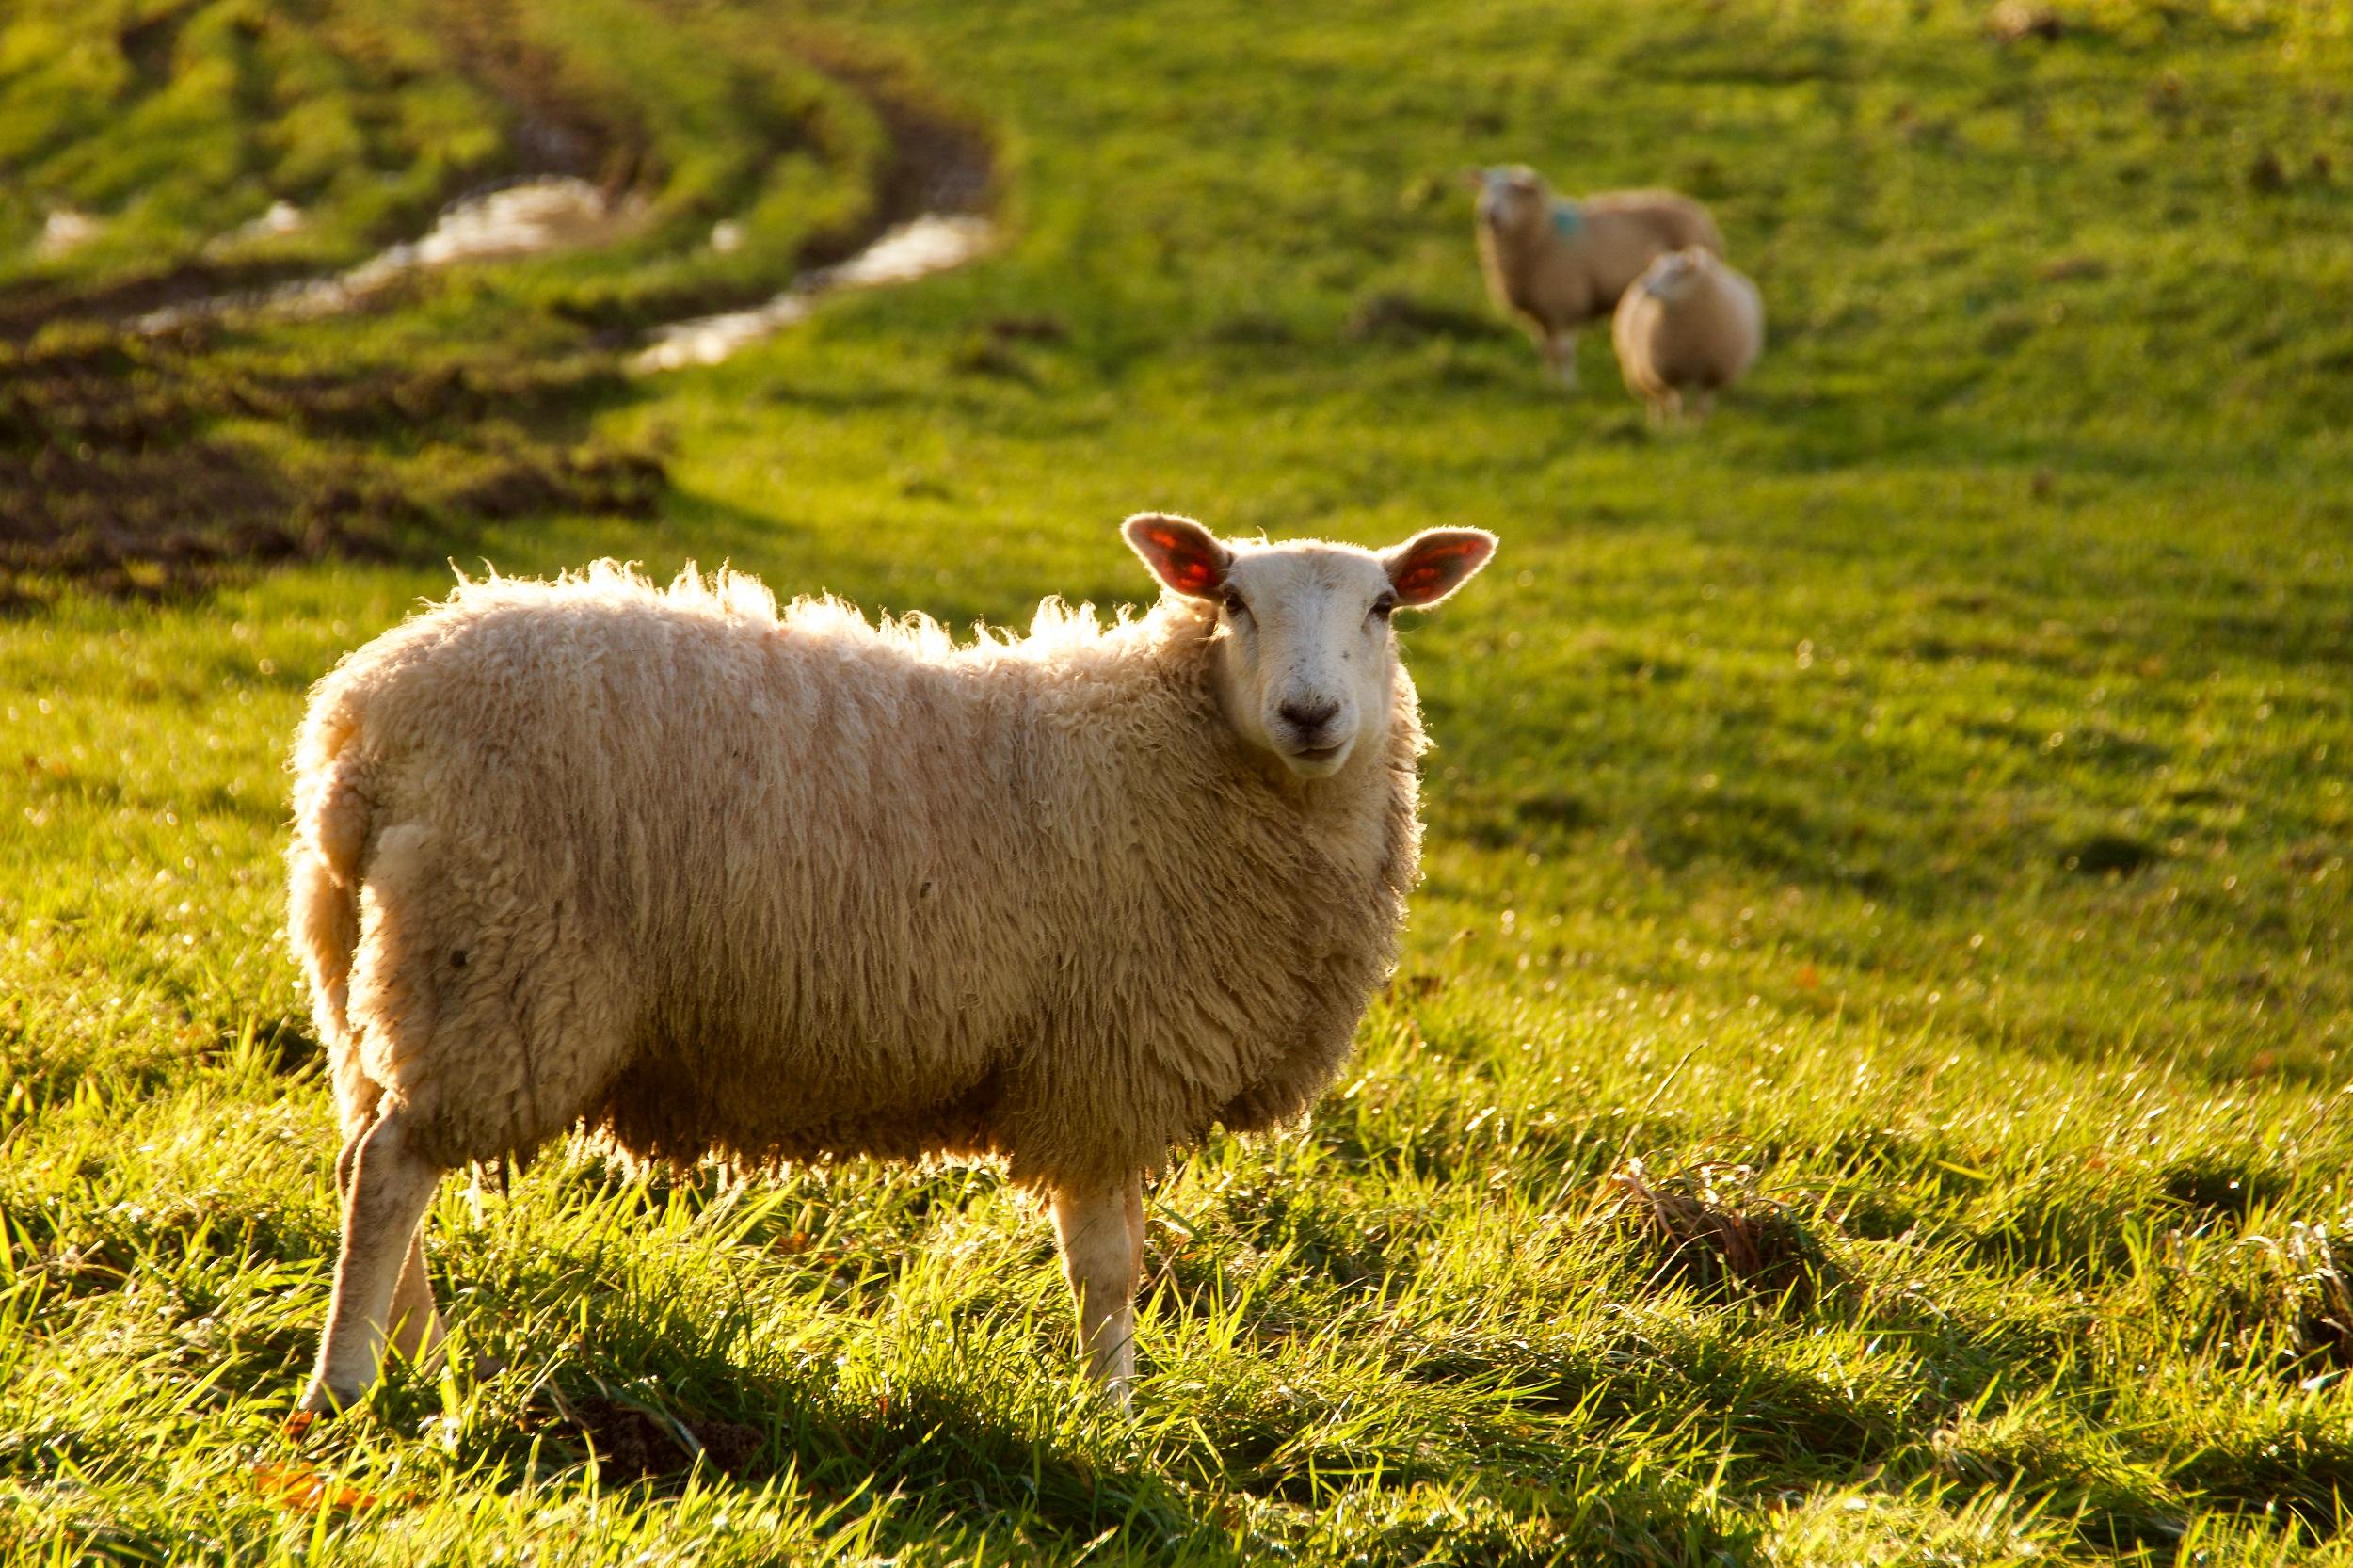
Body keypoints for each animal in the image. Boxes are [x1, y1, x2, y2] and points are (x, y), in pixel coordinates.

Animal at [294, 518, 1497, 1412]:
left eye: (1383, 607)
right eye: (1235, 601)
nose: (1310, 713)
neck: (1175, 748)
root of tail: (361, 718)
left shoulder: (1112, 1068)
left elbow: (1123, 1254)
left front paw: (1113, 1404)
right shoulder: (1103, 1062)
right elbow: (1107, 1264)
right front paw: (1112, 1416)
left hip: (373, 970)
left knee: (366, 1153)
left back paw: (420, 1361)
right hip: (497, 963)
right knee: (394, 1168)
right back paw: (345, 1386)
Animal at [1468, 163, 1732, 388]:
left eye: (1513, 191)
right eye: (1485, 188)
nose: (1489, 214)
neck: (1543, 234)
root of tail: (1693, 207)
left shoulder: (1564, 304)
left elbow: (1563, 351)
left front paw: (1568, 387)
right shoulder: (1539, 313)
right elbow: (1547, 351)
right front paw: (1549, 385)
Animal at [1609, 242, 1760, 419]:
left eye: (1675, 275)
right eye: (1656, 269)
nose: (1645, 287)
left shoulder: (1711, 371)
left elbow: (1703, 403)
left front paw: (1699, 421)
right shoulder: (1672, 371)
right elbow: (1679, 403)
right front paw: (1678, 424)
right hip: (1642, 369)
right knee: (1656, 398)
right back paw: (1657, 421)